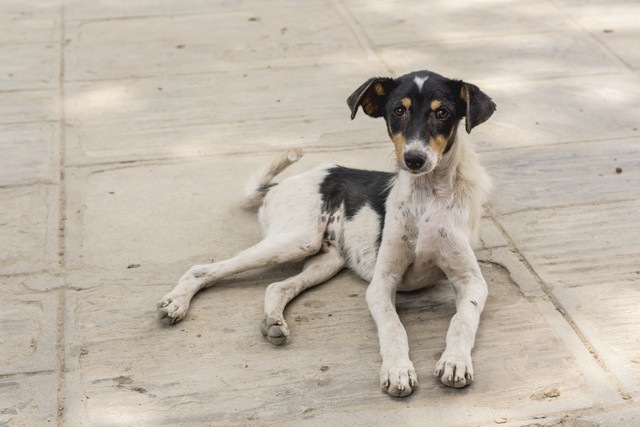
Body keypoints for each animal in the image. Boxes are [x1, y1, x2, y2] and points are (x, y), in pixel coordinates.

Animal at [156, 68, 496, 400]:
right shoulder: (381, 283)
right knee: (203, 269)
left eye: (443, 113)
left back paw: (274, 322)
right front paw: (398, 369)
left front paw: (455, 361)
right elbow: (393, 327)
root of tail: (279, 184)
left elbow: (462, 319)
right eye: (398, 110)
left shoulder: (472, 282)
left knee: (276, 287)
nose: (414, 159)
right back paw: (175, 304)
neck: (427, 198)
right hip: (297, 240)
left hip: (326, 259)